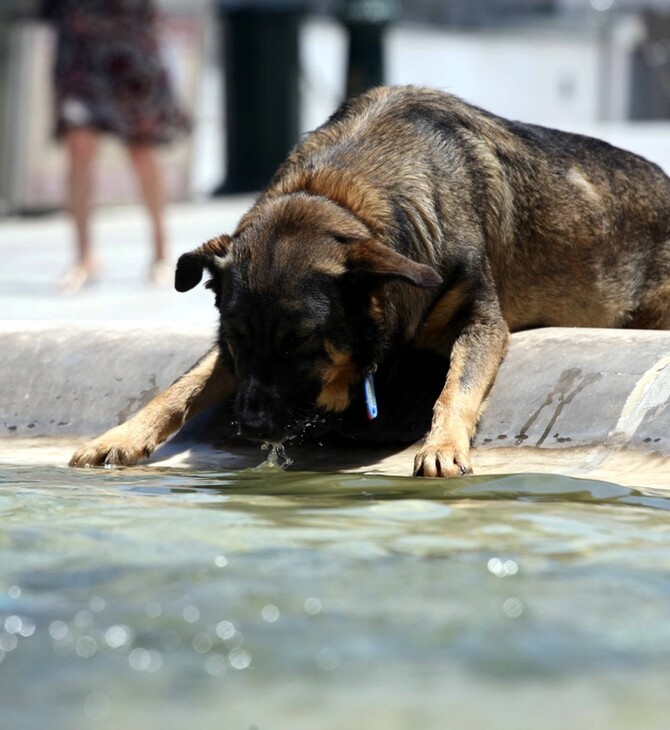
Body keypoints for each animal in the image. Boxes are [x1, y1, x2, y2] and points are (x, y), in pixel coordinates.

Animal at [68, 85, 670, 474]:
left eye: (303, 344)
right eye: (237, 339)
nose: (253, 426)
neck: (341, 193)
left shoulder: (480, 318)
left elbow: (457, 387)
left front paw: (442, 443)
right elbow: (180, 387)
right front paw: (122, 435)